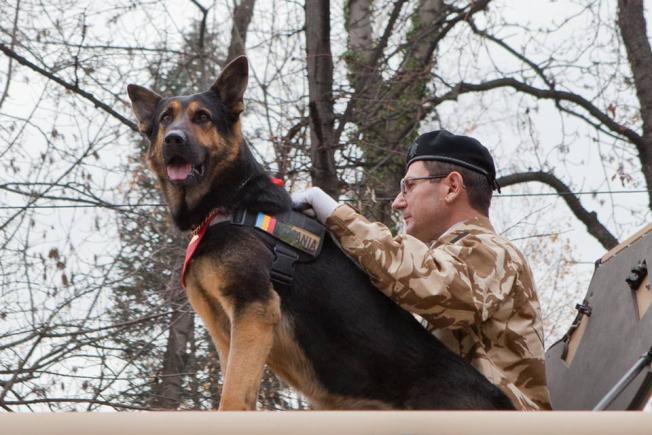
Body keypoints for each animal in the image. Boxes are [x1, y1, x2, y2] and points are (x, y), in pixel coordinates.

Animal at [126, 56, 516, 410]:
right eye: (165, 119)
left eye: (202, 117)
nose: (173, 140)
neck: (229, 202)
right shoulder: (228, 334)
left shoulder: (254, 310)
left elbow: (232, 398)